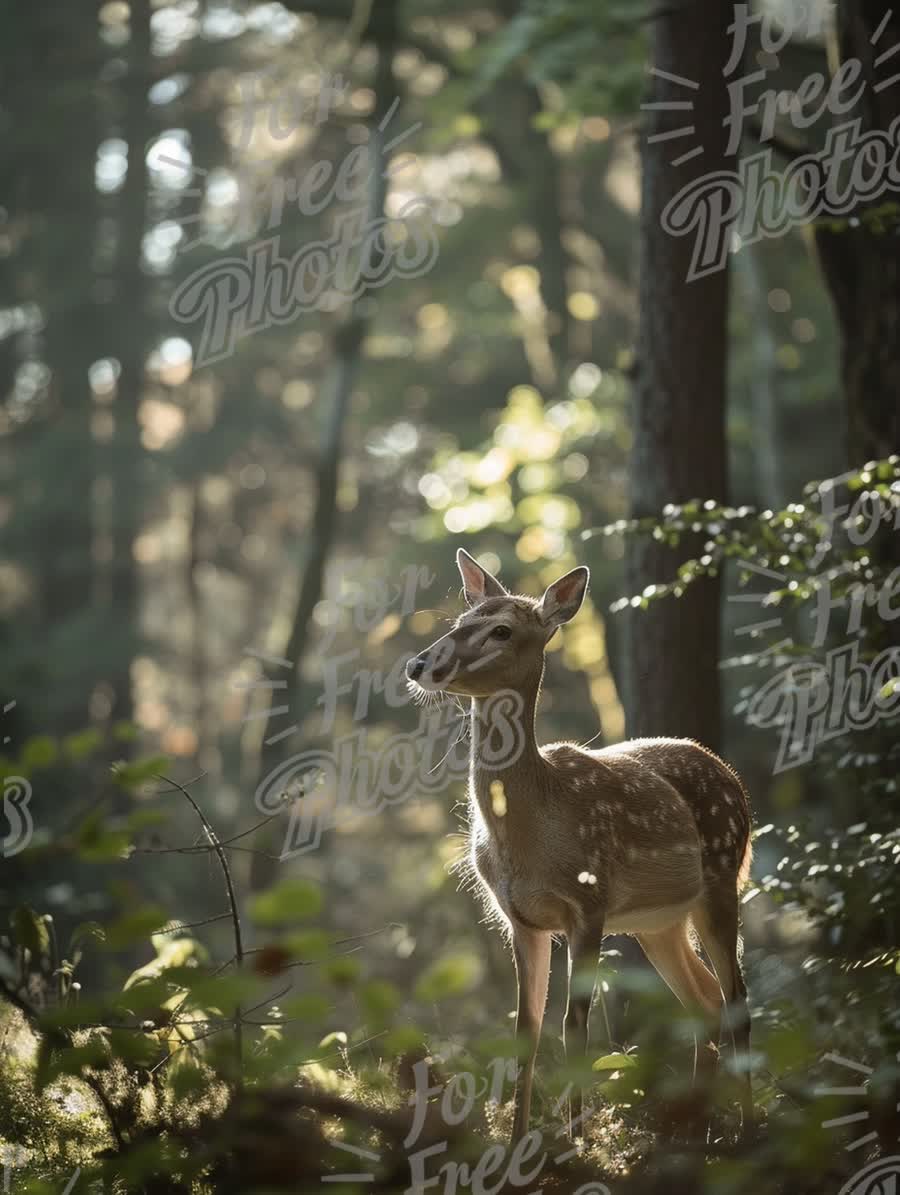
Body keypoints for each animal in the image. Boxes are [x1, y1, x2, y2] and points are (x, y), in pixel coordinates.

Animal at [406, 547, 750, 1137]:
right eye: (460, 620)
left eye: (501, 630)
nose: (419, 665)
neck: (531, 834)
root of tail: (735, 780)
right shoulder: (519, 917)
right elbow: (526, 1031)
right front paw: (519, 1142)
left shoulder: (589, 902)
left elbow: (575, 1028)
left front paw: (574, 1141)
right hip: (658, 923)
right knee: (703, 1002)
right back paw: (692, 1128)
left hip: (722, 880)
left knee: (738, 1000)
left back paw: (751, 1124)